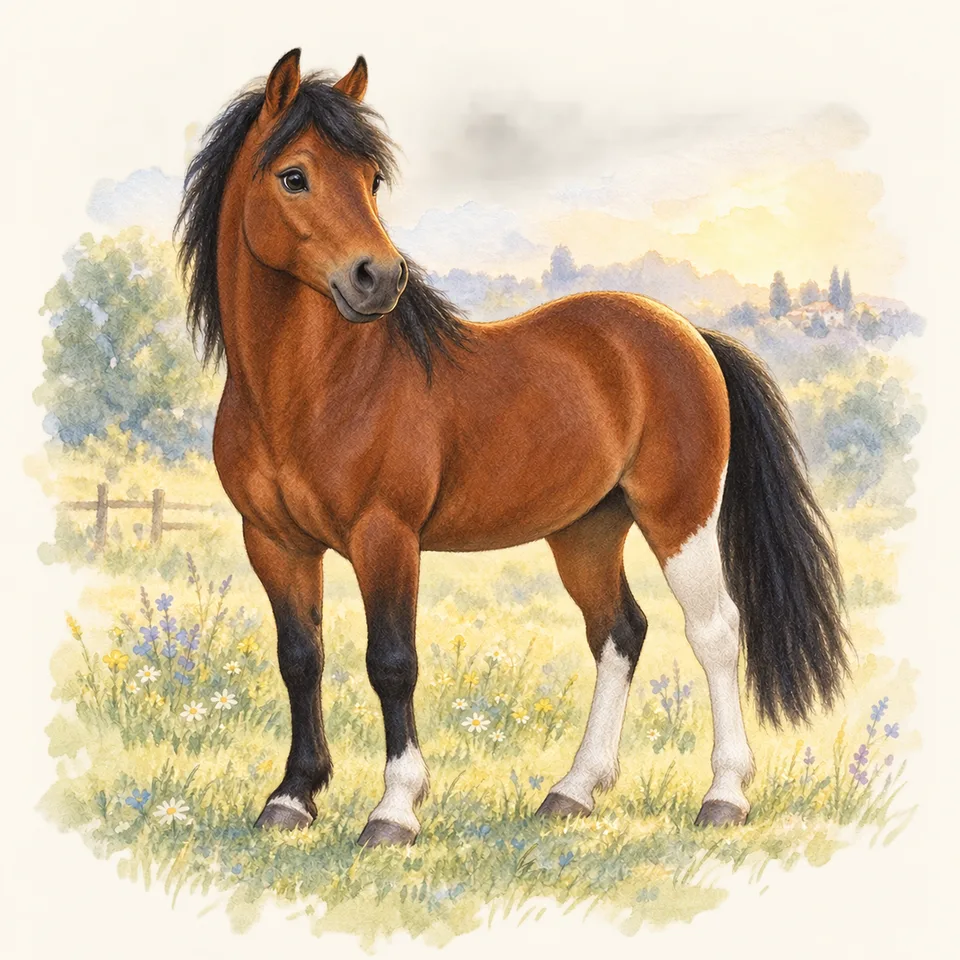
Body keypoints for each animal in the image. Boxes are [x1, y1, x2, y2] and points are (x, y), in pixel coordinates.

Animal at [175, 49, 849, 847]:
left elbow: (391, 663)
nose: (379, 278)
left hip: (678, 518)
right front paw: (291, 798)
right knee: (619, 632)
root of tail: (688, 334)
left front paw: (394, 810)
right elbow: (300, 659)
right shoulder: (274, 542)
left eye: (371, 180)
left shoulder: (385, 536)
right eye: (293, 176)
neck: (312, 390)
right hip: (587, 530)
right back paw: (574, 790)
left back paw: (724, 796)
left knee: (713, 631)